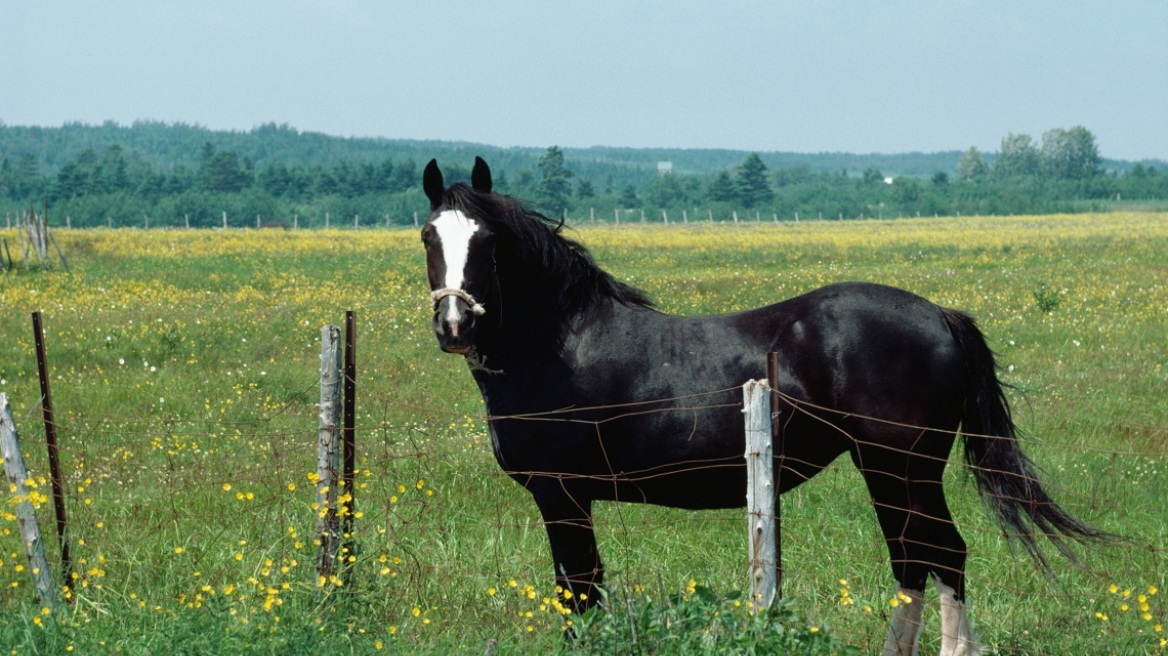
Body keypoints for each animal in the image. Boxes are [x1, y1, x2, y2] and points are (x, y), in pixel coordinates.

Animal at [420, 155, 1102, 648]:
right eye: (428, 236)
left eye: (488, 240)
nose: (454, 325)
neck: (561, 344)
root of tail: (940, 315)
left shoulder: (561, 494)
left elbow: (579, 592)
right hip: (885, 471)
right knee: (912, 560)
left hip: (902, 468)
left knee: (942, 557)